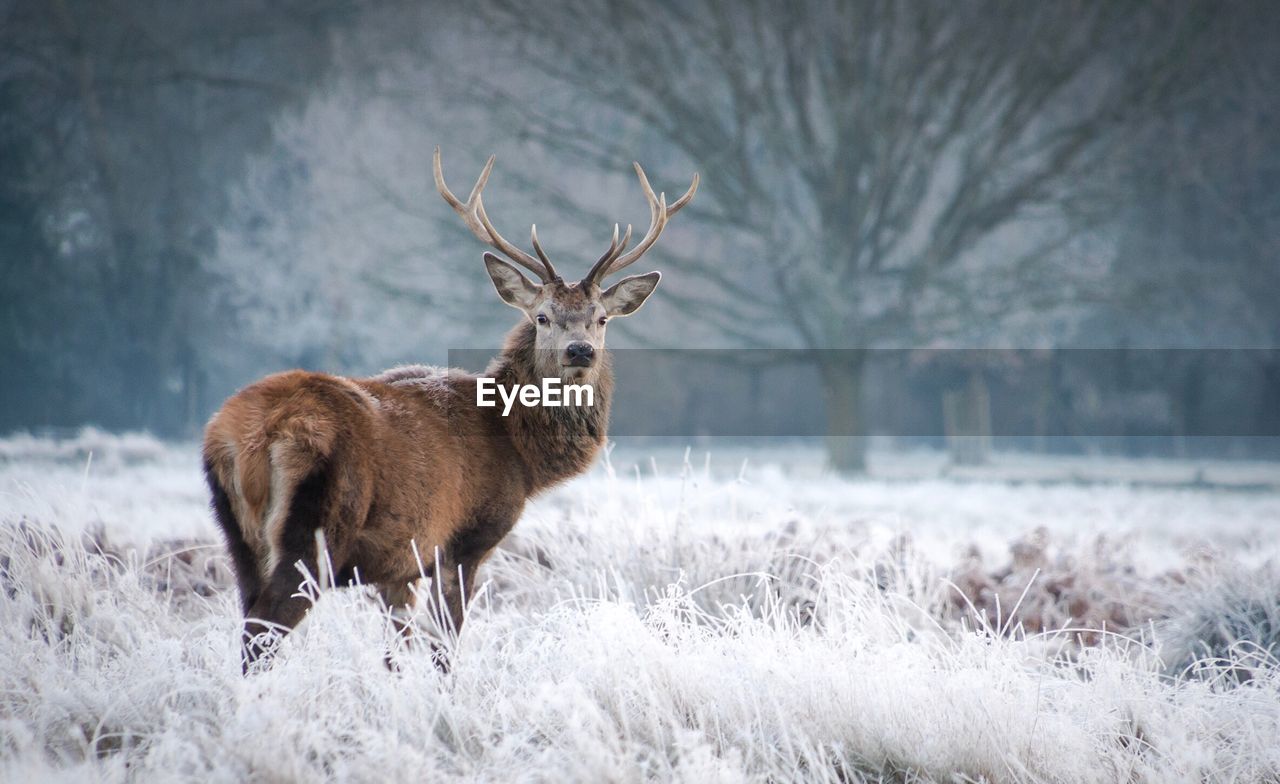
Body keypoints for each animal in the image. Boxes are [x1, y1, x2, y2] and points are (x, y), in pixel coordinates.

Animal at [203, 149, 696, 671]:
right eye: (542, 317)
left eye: (601, 319)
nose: (579, 351)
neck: (519, 452)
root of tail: (248, 437)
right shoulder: (462, 542)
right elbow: (443, 649)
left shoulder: (398, 564)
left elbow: (395, 653)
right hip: (315, 527)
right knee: (261, 635)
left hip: (238, 536)